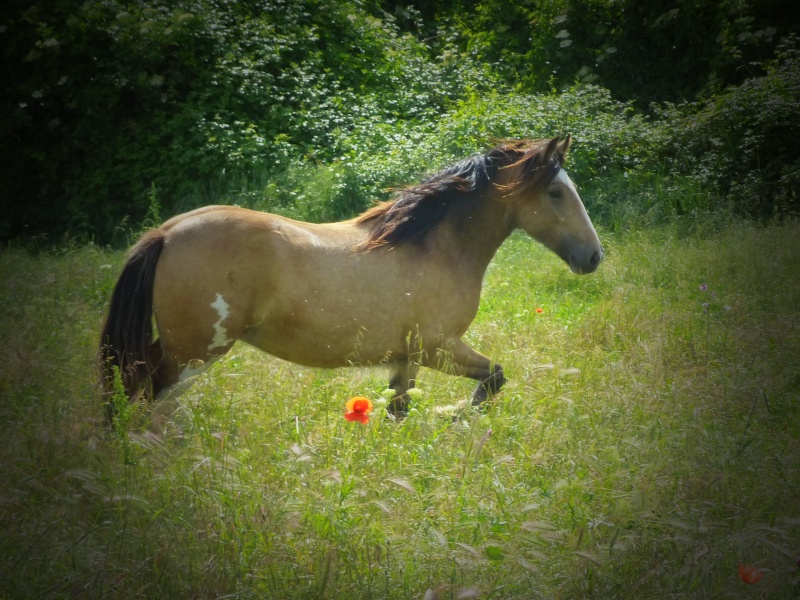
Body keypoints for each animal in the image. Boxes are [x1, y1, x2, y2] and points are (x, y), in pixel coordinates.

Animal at [98, 135, 600, 418]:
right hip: (195, 354)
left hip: (176, 348)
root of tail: (167, 232)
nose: (593, 257)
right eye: (556, 192)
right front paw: (454, 413)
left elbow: (399, 411)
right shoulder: (438, 346)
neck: (434, 245)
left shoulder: (407, 358)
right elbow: (494, 380)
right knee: (153, 404)